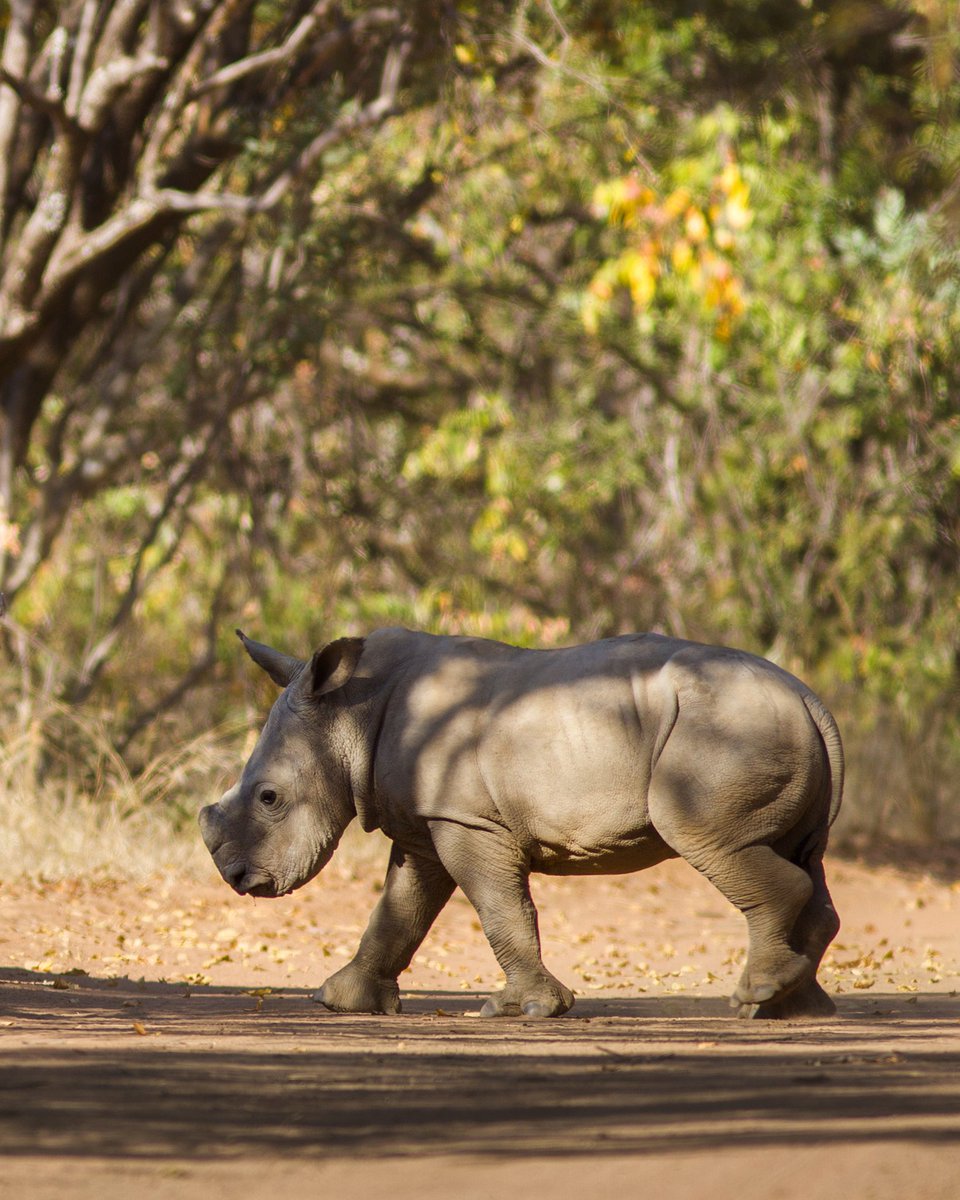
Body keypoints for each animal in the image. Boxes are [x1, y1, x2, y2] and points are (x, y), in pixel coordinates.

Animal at [199, 627, 843, 1019]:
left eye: (270, 798)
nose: (237, 878)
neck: (348, 713)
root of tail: (810, 698)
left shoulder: (468, 821)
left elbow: (500, 908)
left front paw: (522, 1010)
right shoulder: (427, 823)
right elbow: (398, 911)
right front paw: (340, 1001)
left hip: (724, 733)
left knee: (714, 840)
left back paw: (756, 997)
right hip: (756, 726)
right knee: (803, 857)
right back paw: (792, 1006)